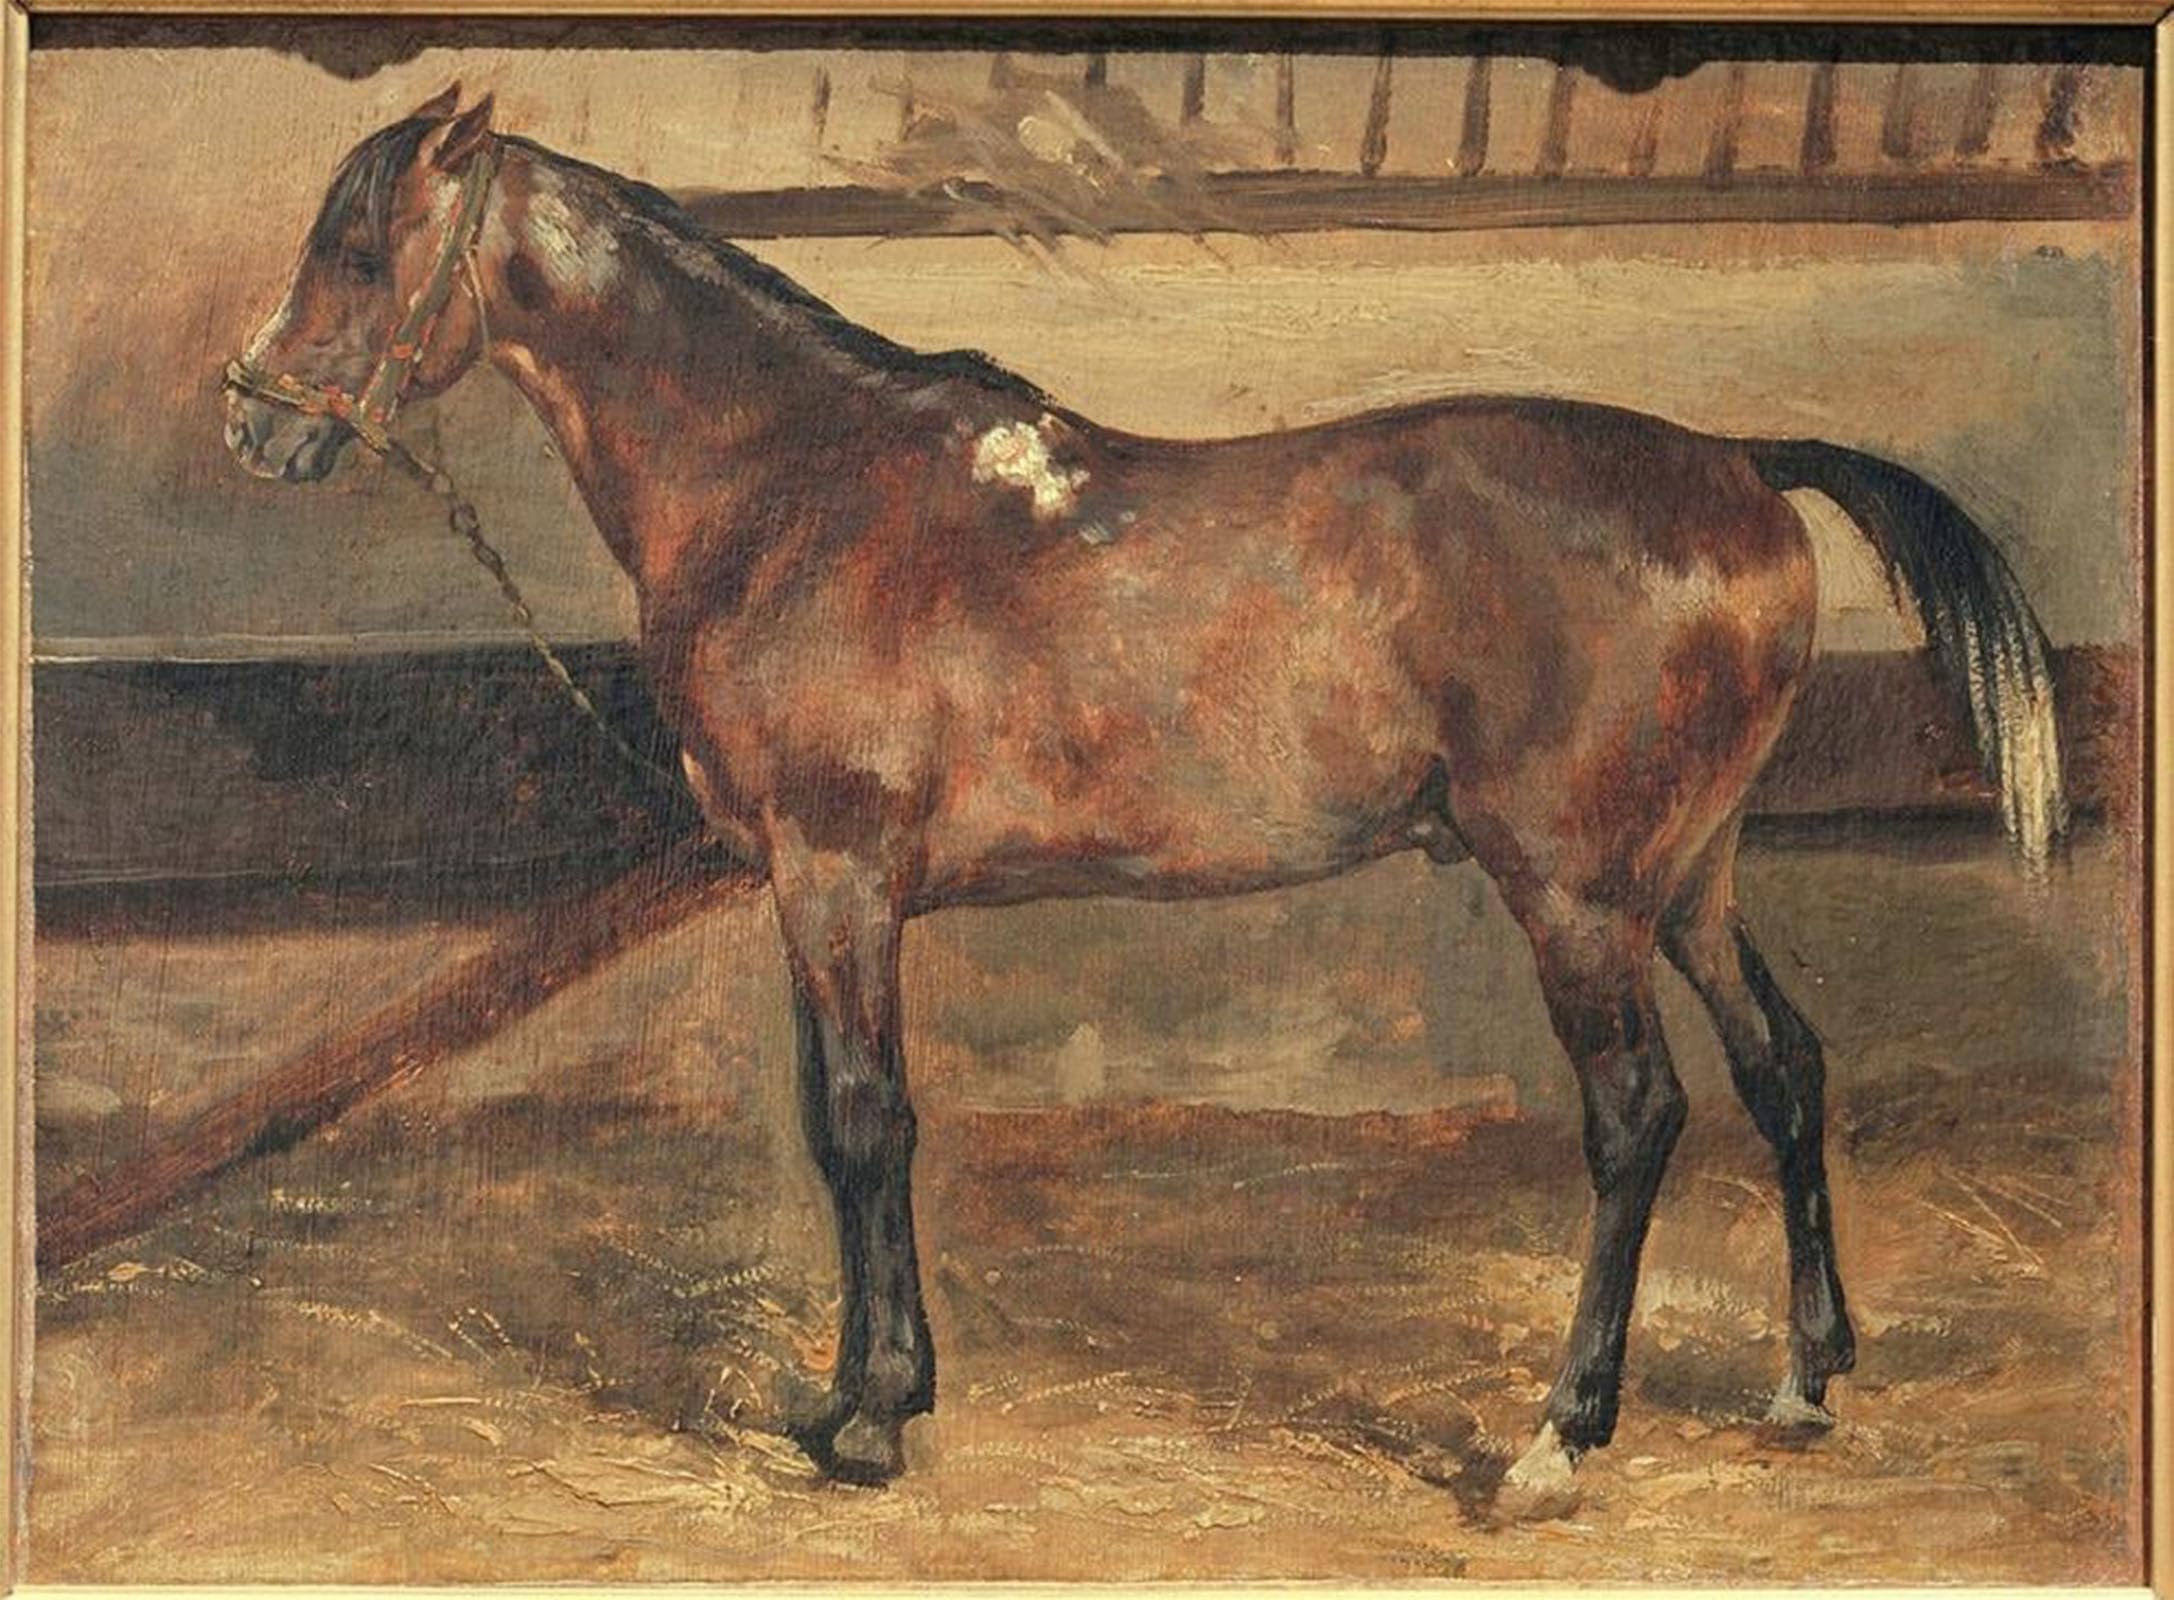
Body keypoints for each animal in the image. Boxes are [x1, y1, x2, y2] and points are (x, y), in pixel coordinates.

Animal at [224, 88, 2064, 1515]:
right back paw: (1803, 1379)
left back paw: (1555, 1438)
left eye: (361, 250)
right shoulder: (812, 891)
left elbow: (862, 1125)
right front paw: (857, 1396)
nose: (253, 420)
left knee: (1636, 1116)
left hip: (1574, 894)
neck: (797, 485)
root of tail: (1739, 464)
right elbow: (842, 1122)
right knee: (1783, 1072)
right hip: (1688, 876)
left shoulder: (835, 877)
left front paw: (870, 1423)